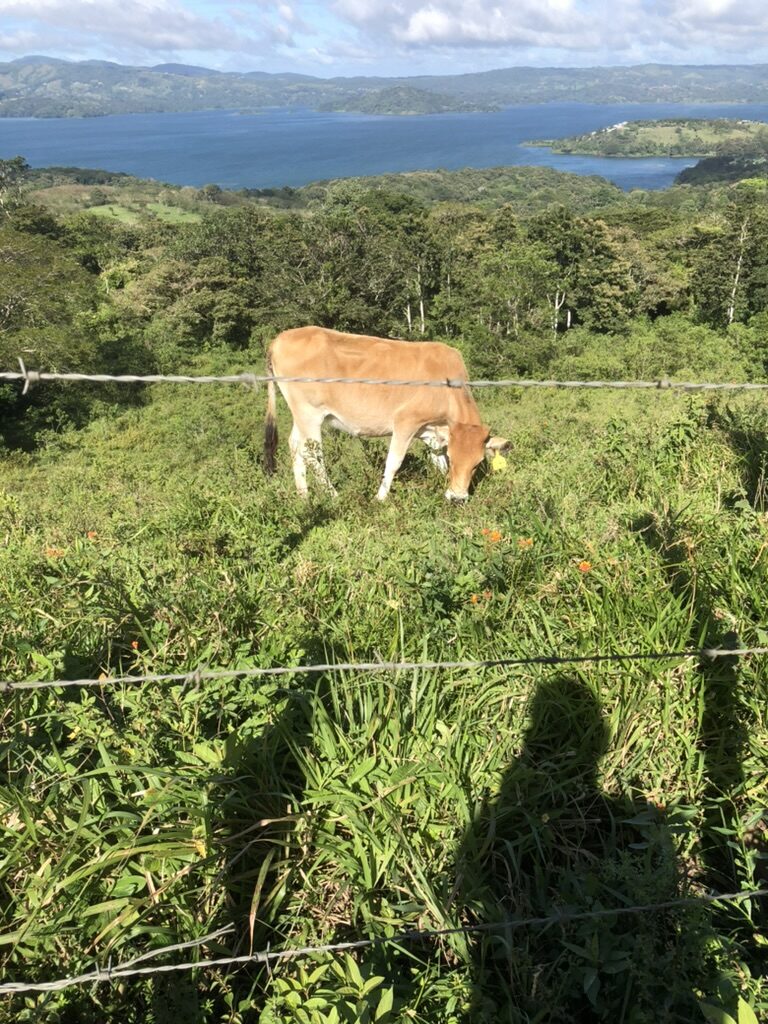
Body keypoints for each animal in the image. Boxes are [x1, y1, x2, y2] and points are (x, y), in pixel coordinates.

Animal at [263, 326, 508, 501]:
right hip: (310, 413)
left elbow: (437, 462)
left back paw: (304, 497)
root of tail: (280, 338)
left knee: (295, 445)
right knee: (312, 454)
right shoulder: (405, 422)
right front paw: (379, 498)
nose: (457, 498)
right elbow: (394, 462)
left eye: (477, 463)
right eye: (454, 458)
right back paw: (333, 496)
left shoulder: (432, 432)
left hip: (301, 415)